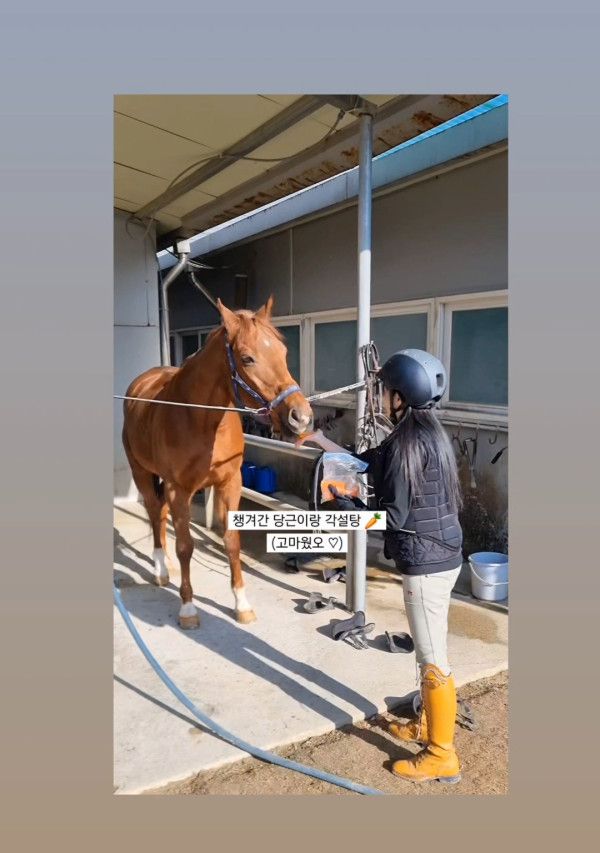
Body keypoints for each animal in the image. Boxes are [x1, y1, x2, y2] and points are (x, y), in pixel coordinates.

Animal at [122, 296, 313, 629]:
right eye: (247, 358)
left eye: (283, 352)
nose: (300, 417)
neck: (200, 420)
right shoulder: (178, 490)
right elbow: (186, 546)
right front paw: (188, 608)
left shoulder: (230, 483)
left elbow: (232, 542)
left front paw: (242, 604)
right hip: (141, 472)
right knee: (155, 513)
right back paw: (161, 569)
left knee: (159, 514)